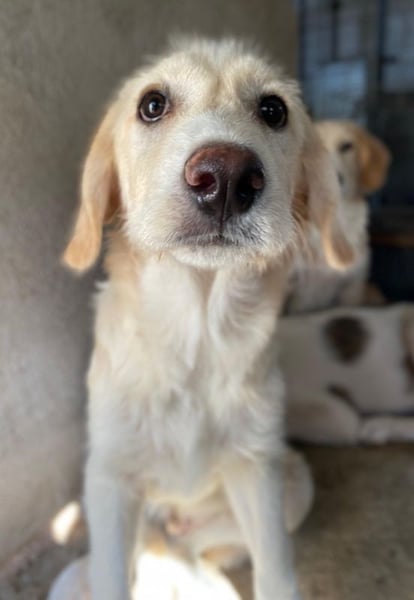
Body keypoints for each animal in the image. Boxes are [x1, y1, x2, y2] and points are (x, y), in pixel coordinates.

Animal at [58, 38, 354, 600]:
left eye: (273, 110)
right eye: (152, 104)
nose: (226, 176)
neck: (196, 332)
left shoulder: (257, 466)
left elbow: (276, 572)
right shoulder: (109, 476)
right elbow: (110, 575)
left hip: (292, 483)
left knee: (190, 551)